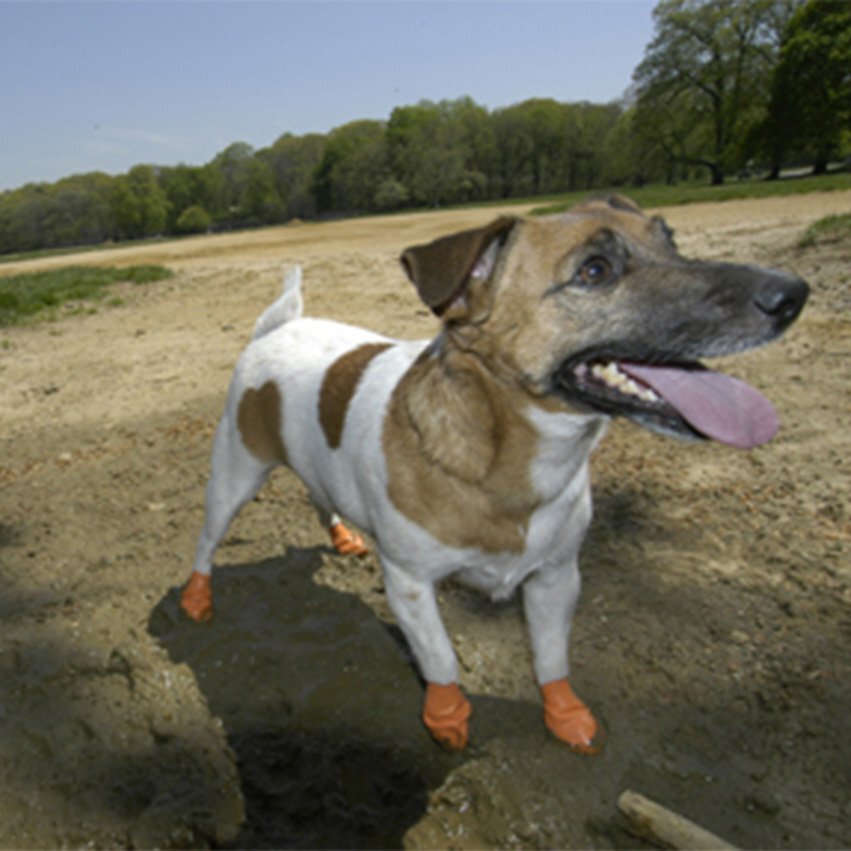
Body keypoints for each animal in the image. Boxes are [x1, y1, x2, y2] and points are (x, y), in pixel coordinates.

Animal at [178, 198, 804, 752]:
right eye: (595, 270)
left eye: (670, 240)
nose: (793, 293)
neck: (512, 463)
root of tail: (275, 330)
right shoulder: (410, 584)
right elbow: (440, 660)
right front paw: (447, 716)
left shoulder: (555, 577)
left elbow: (551, 657)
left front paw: (565, 715)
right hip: (233, 476)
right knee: (206, 543)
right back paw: (196, 598)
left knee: (319, 495)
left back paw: (340, 534)